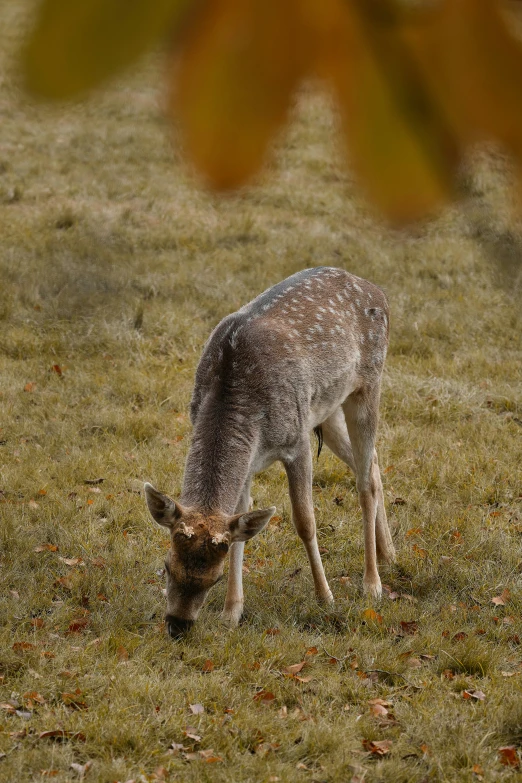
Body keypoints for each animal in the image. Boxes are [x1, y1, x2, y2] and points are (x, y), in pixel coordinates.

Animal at [144, 268, 392, 636]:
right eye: (167, 565)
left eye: (214, 579)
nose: (178, 625)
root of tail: (377, 290)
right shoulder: (249, 460)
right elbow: (240, 522)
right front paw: (232, 612)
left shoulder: (297, 442)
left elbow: (305, 522)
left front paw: (325, 597)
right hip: (326, 409)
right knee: (373, 462)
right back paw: (389, 553)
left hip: (368, 383)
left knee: (365, 482)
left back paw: (372, 583)